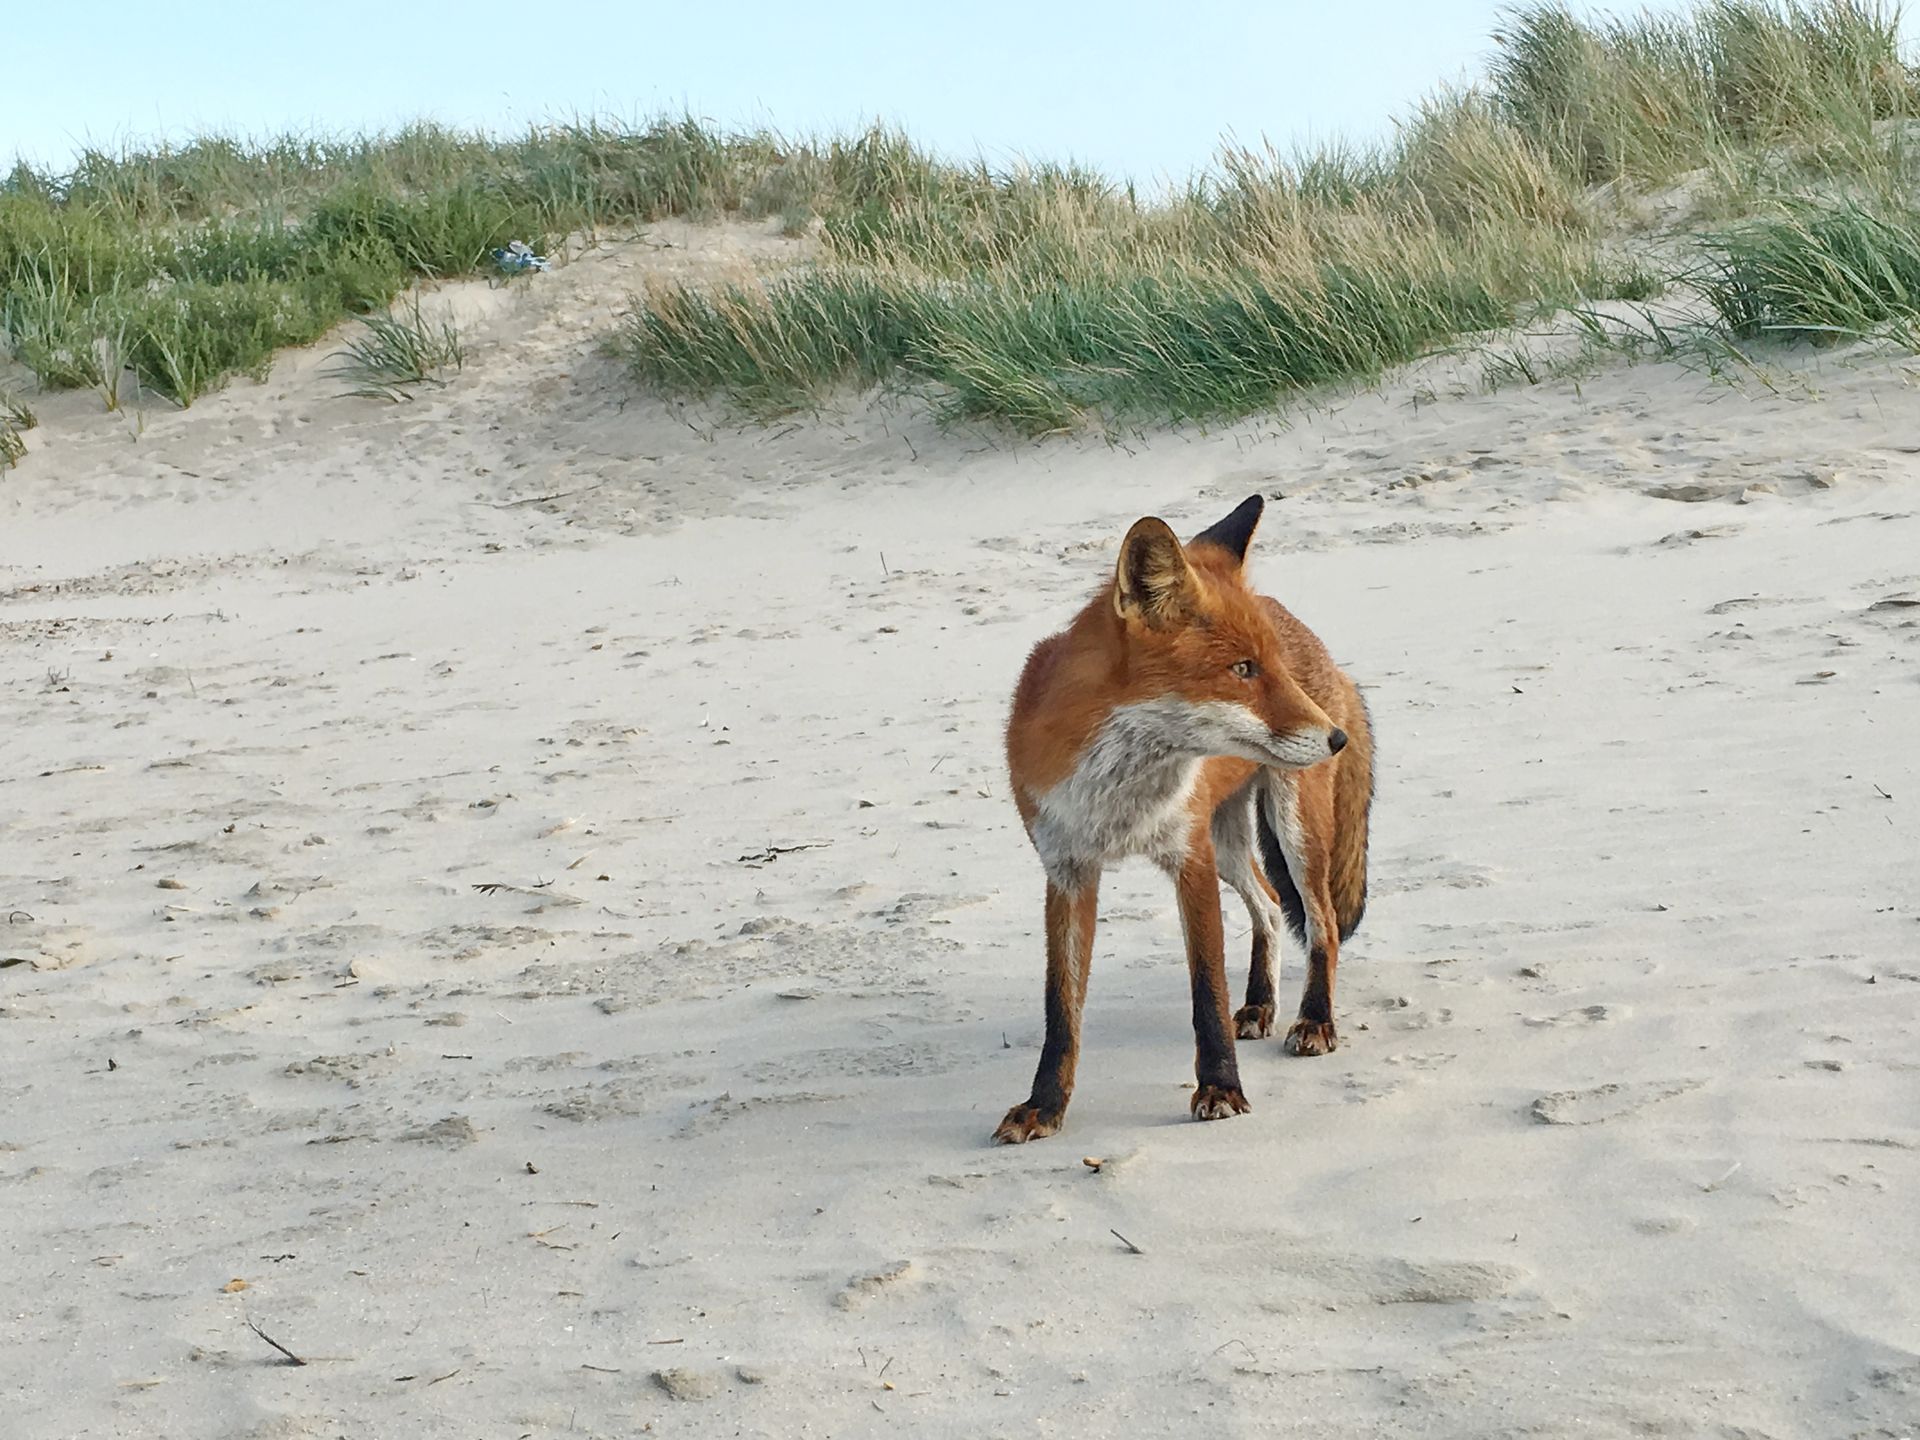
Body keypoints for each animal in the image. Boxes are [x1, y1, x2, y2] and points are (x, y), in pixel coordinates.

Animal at [993, 494, 1373, 1144]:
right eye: (1243, 670)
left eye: (1272, 666)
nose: (1336, 739)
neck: (1117, 792)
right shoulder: (1067, 869)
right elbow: (1060, 1007)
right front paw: (1045, 1105)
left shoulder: (1188, 856)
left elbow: (1206, 992)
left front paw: (1221, 1088)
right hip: (1230, 844)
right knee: (1271, 902)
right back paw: (1262, 1004)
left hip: (1292, 826)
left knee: (1320, 920)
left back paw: (1314, 1020)